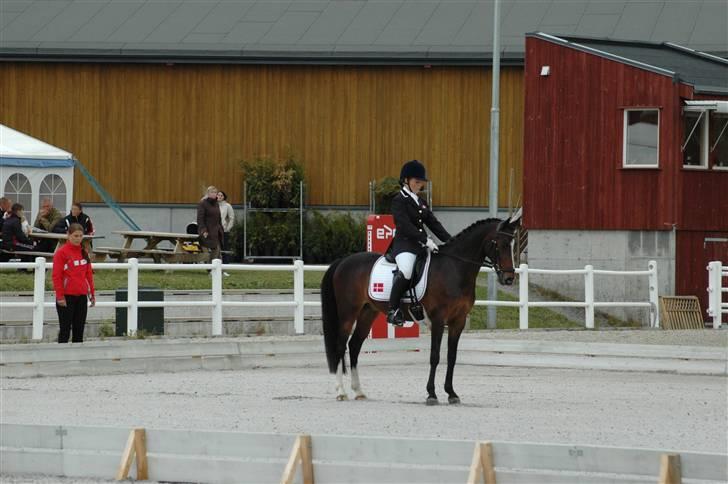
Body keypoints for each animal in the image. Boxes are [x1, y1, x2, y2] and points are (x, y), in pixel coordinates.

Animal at [322, 214, 520, 406]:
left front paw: (451, 393)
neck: (455, 268)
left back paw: (359, 392)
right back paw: (341, 392)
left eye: (513, 244)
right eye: (500, 243)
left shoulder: (458, 320)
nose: (509, 278)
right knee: (340, 346)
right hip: (348, 313)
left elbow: (452, 356)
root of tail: (343, 261)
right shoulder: (438, 319)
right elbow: (435, 356)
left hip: (368, 312)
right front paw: (431, 394)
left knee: (354, 345)